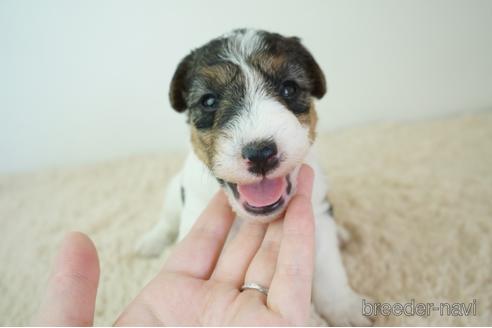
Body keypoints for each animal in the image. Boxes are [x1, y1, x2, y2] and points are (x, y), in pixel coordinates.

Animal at [136, 29, 370, 326]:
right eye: (209, 101)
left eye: (289, 88)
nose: (260, 153)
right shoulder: (195, 211)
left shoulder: (316, 211)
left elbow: (329, 269)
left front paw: (344, 309)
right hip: (172, 193)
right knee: (166, 221)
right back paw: (150, 242)